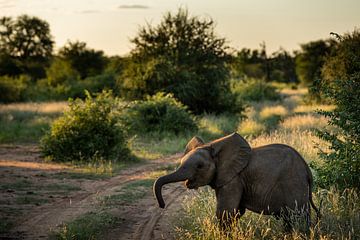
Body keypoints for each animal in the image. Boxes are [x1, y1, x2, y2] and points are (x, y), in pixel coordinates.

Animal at [153, 132, 320, 230]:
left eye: (199, 166)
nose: (162, 205)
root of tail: (307, 170)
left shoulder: (233, 179)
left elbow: (225, 212)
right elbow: (235, 212)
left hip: (294, 184)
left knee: (297, 217)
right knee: (291, 219)